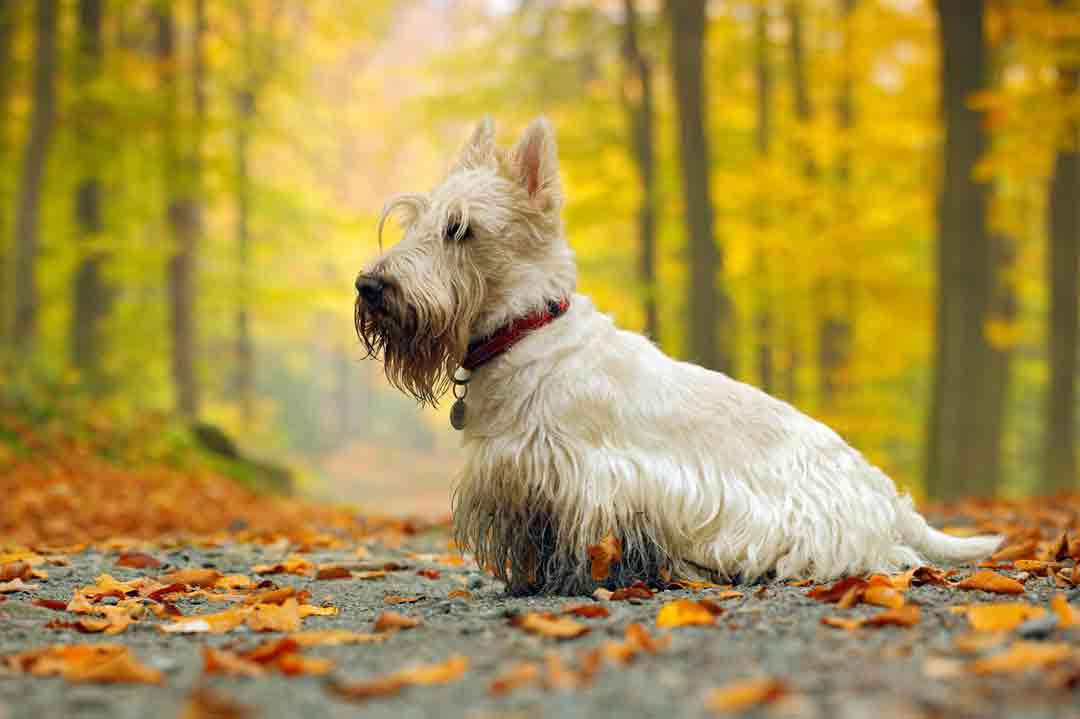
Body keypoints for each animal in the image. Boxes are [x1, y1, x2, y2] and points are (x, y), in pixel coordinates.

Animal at [356, 114, 1002, 591]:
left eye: (460, 229)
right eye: (417, 221)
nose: (370, 286)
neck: (526, 331)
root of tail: (887, 497)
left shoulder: (588, 480)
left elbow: (583, 542)